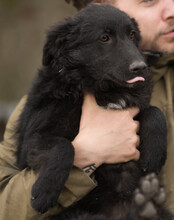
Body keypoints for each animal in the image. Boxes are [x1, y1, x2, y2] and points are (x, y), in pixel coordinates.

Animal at [15, 3, 173, 220]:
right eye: (104, 38)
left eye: (132, 35)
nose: (141, 67)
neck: (104, 90)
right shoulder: (32, 140)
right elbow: (63, 147)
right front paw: (44, 192)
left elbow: (155, 112)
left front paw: (154, 155)